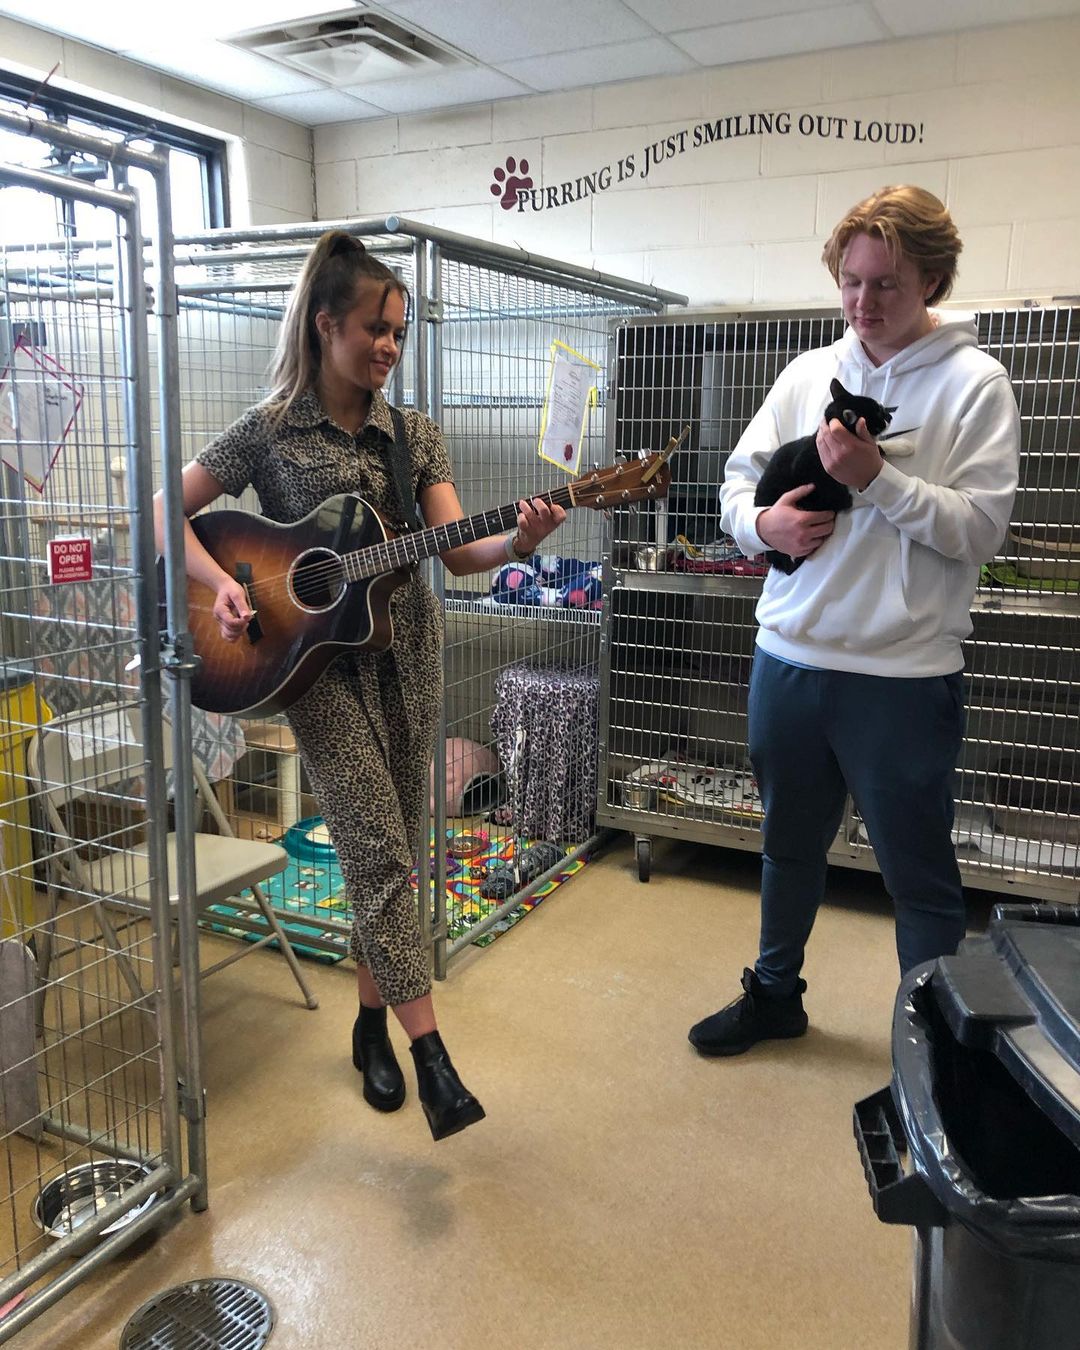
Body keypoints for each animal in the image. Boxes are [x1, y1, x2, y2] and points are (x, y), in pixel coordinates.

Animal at [750, 378, 896, 572]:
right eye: (879, 413)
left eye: (882, 408)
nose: (890, 416)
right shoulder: (810, 474)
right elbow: (844, 496)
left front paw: (902, 446)